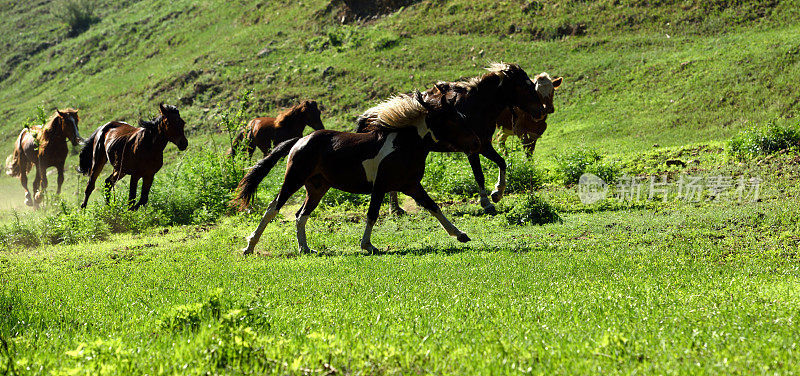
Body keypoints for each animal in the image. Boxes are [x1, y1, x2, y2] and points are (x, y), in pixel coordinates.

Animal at [234, 91, 478, 256]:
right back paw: (249, 247)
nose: (476, 141)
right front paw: (368, 245)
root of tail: (300, 141)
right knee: (273, 208)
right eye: (453, 119)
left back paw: (305, 248)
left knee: (300, 215)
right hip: (294, 179)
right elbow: (372, 214)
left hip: (317, 188)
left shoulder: (411, 186)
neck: (404, 144)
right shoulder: (380, 187)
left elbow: (434, 207)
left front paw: (461, 235)